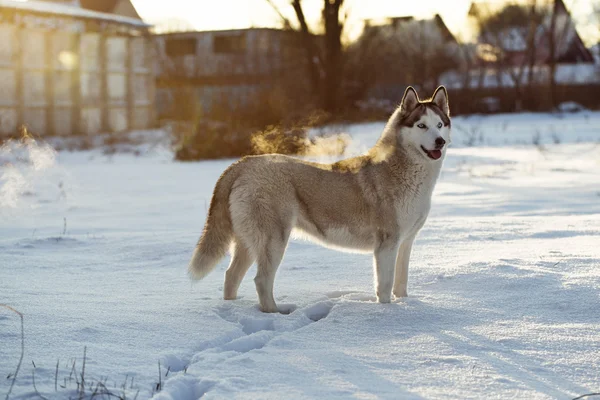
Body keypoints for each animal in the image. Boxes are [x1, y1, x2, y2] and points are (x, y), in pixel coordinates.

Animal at [188, 86, 450, 312]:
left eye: (439, 124)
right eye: (421, 125)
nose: (440, 141)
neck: (404, 171)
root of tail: (242, 164)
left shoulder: (406, 241)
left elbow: (401, 284)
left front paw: (405, 306)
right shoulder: (386, 244)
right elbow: (384, 289)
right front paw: (388, 314)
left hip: (248, 241)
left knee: (231, 276)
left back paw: (231, 308)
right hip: (274, 239)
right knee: (261, 280)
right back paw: (275, 313)